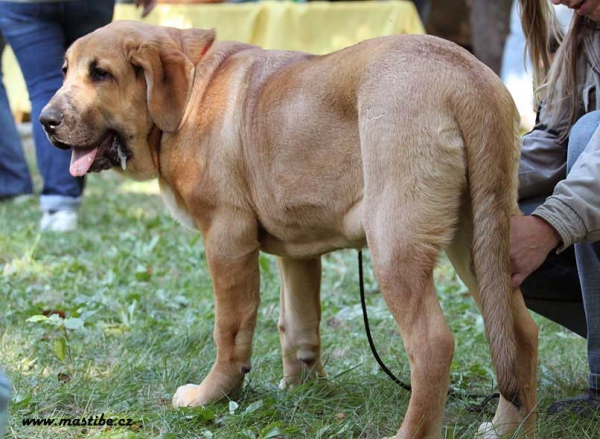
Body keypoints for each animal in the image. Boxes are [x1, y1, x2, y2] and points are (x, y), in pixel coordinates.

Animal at [42, 21, 540, 439]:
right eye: (65, 71)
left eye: (101, 74)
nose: (46, 120)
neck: (191, 90)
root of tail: (466, 76)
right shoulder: (297, 251)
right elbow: (297, 325)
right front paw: (302, 388)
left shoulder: (226, 238)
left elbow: (230, 329)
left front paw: (211, 395)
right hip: (478, 240)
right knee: (519, 331)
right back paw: (509, 427)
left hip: (395, 244)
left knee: (433, 345)